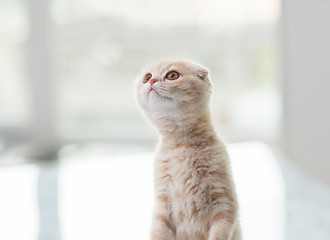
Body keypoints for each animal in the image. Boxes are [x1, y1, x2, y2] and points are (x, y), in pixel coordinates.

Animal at [135, 58, 241, 240]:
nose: (152, 81)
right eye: (147, 77)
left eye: (172, 75)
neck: (181, 147)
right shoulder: (162, 206)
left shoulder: (224, 202)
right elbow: (158, 233)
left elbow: (219, 233)